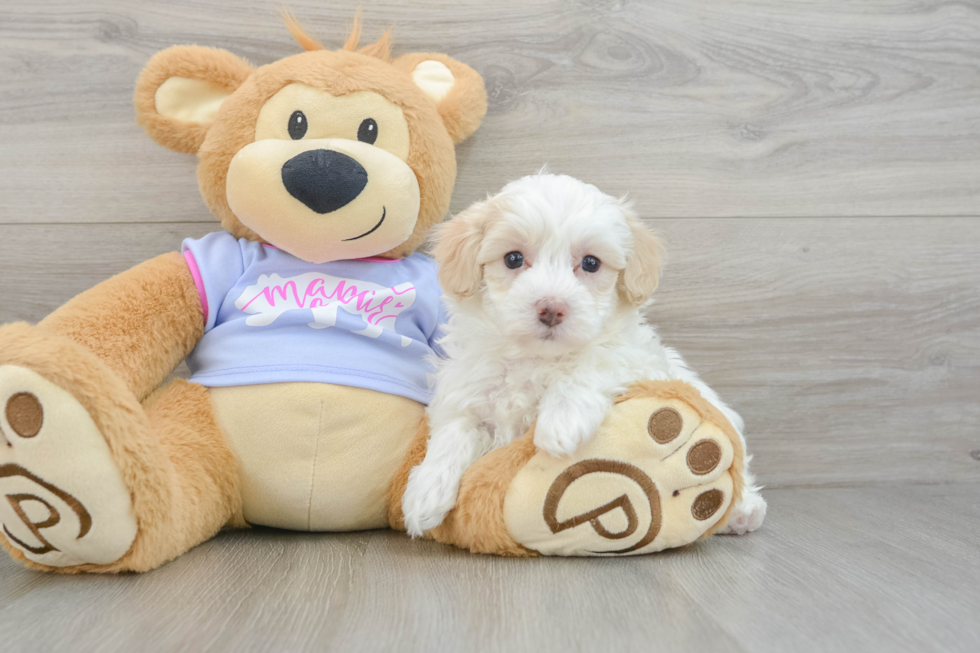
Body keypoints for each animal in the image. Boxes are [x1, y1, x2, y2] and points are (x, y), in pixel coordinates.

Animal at [402, 171, 768, 536]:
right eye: (513, 259)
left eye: (591, 263)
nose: (552, 308)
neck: (537, 358)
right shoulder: (466, 392)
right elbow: (454, 432)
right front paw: (426, 492)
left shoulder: (637, 358)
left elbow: (594, 361)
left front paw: (561, 422)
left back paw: (743, 510)